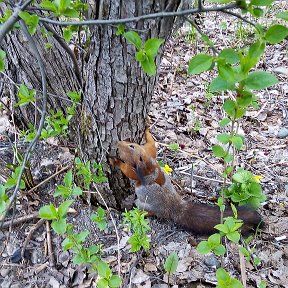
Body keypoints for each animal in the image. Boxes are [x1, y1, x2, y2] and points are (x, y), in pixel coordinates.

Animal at [111, 128, 264, 234]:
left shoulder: (140, 171)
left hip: (147, 206)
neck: (147, 161)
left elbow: (129, 172)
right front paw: (147, 127)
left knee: (150, 212)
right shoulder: (149, 153)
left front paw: (114, 161)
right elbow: (151, 144)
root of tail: (174, 207)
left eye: (131, 147)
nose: (118, 142)